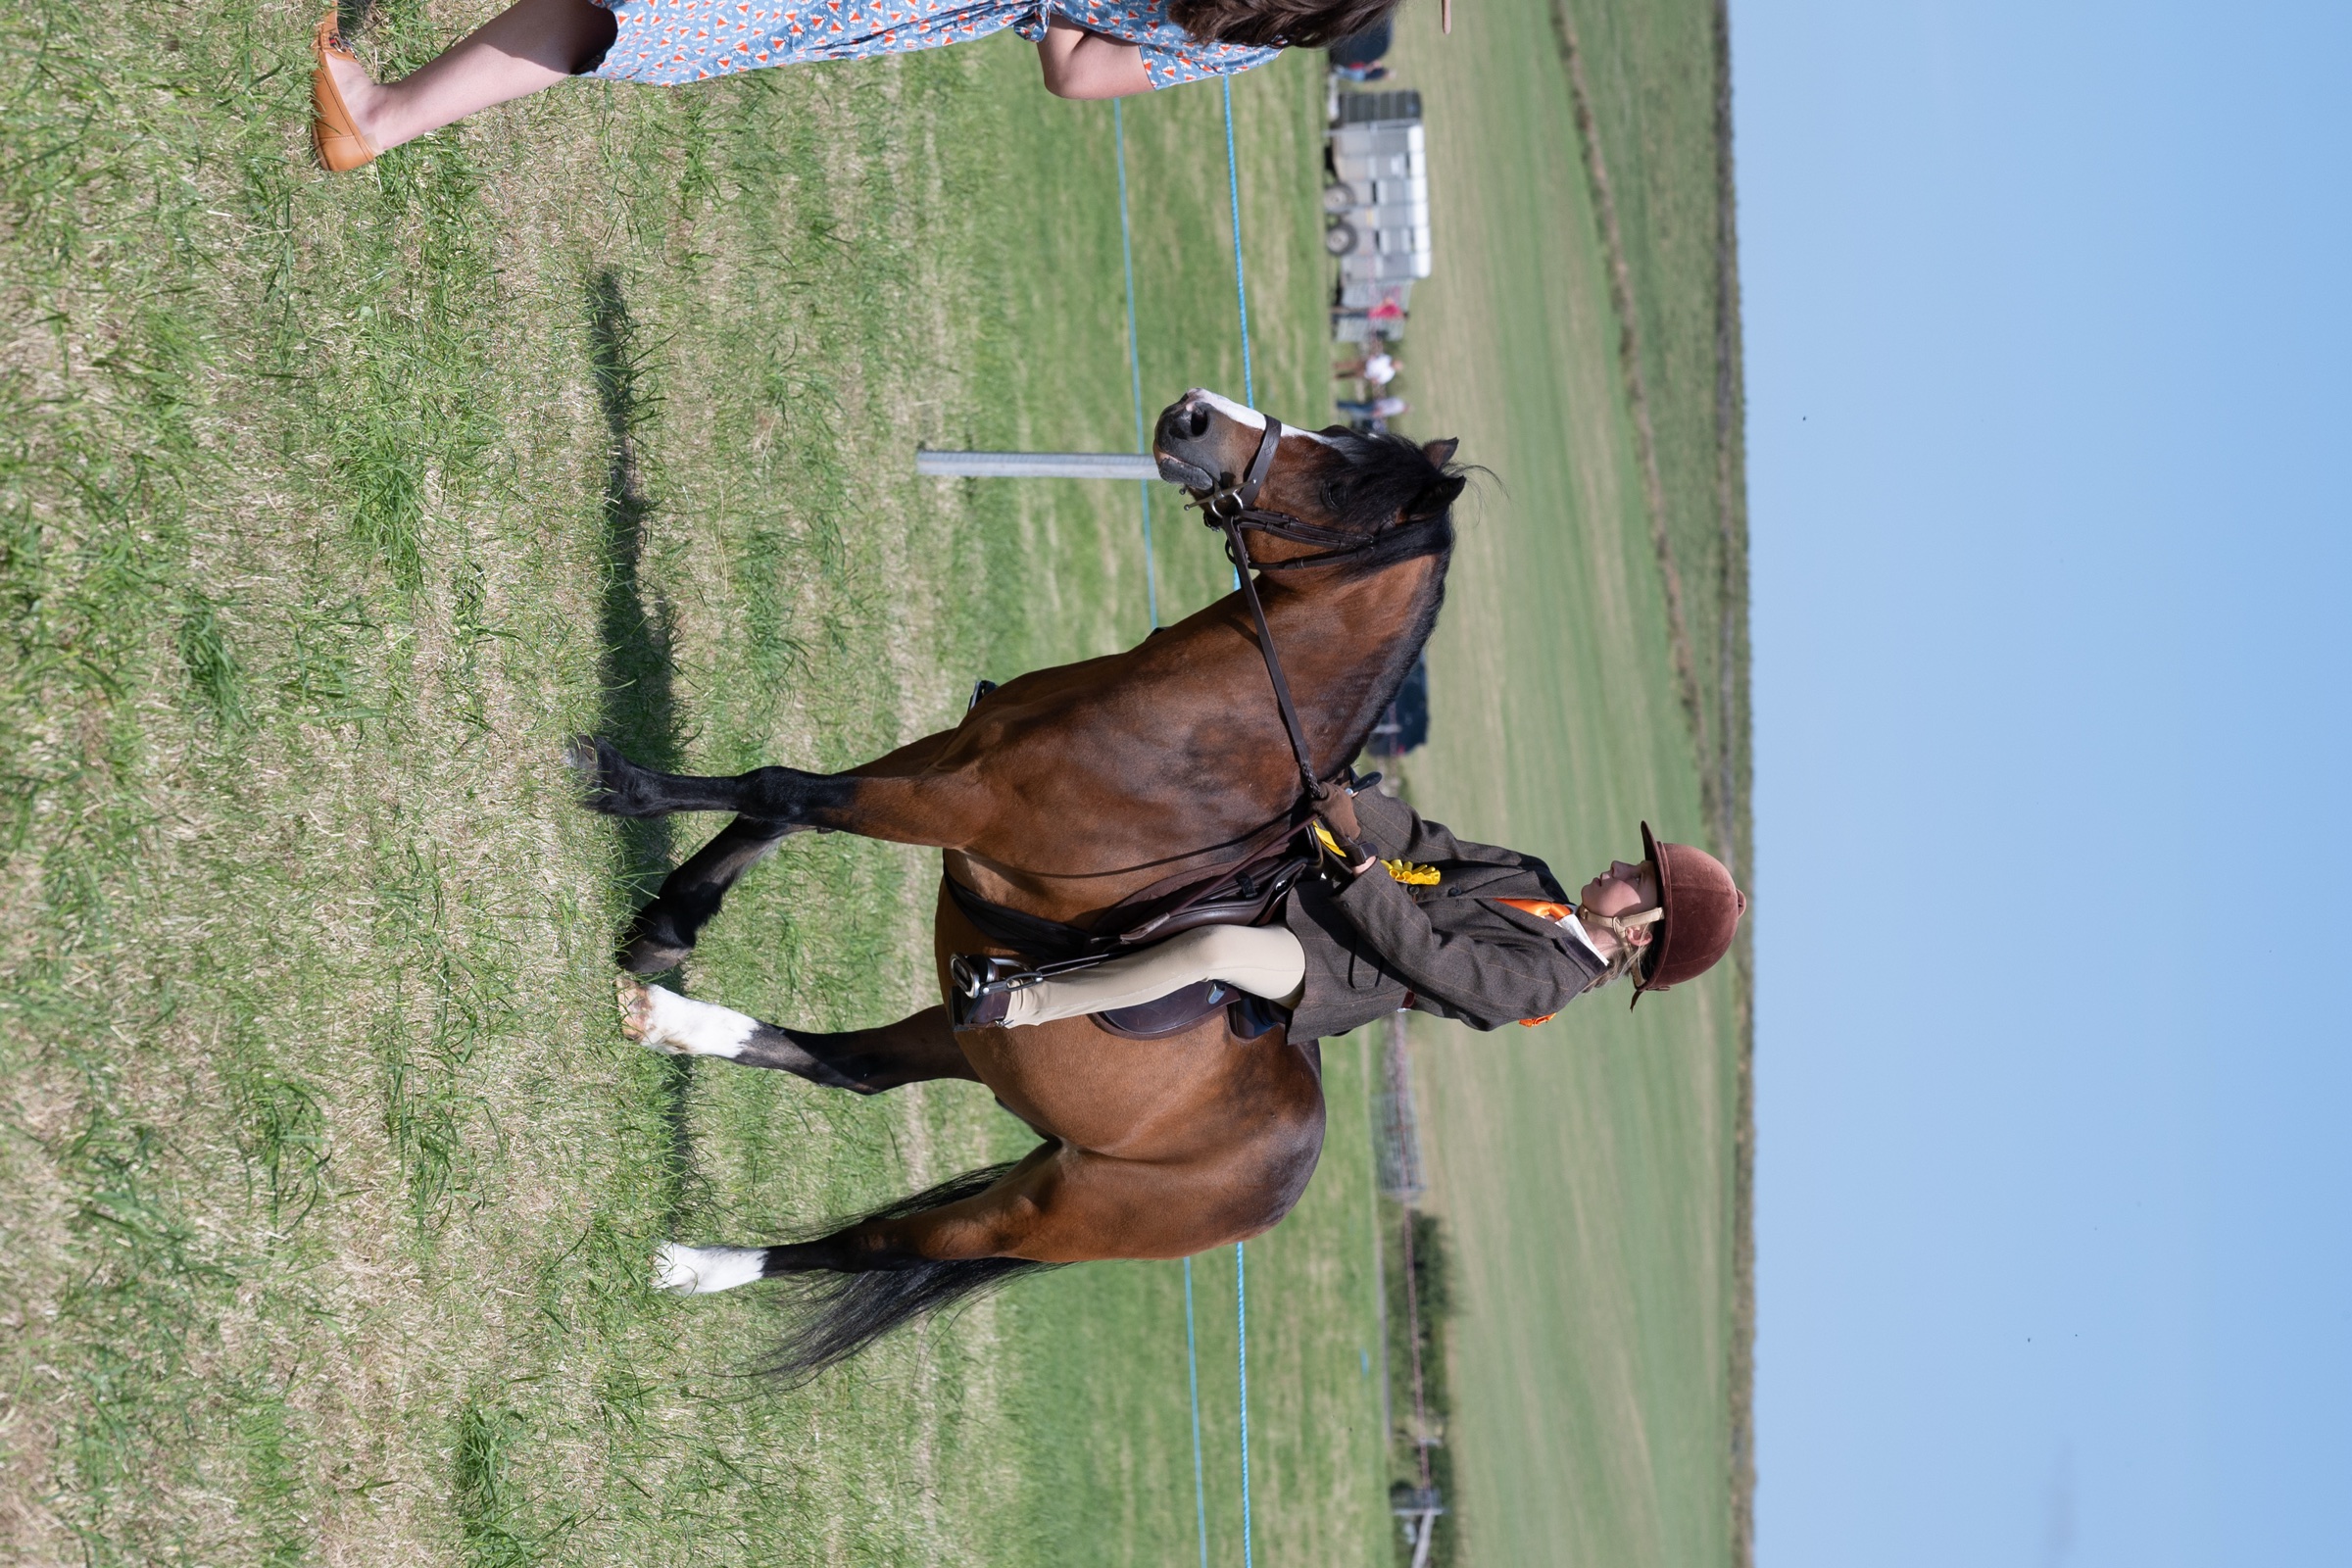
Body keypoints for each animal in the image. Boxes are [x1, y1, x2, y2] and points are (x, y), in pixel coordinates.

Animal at [576, 388, 1465, 1379]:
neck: (1192, 738)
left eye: (1345, 481)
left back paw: (695, 1267)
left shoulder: (958, 805)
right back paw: (667, 1021)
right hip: (977, 1041)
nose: (1193, 414)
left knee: (874, 1244)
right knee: (855, 1069)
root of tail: (1281, 1183)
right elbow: (782, 811)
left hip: (1041, 1214)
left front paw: (620, 784)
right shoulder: (946, 758)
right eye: (1337, 433)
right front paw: (667, 924)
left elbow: (781, 790)